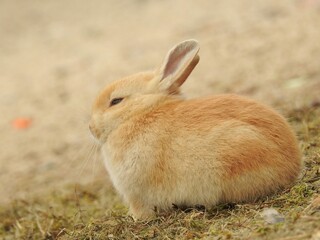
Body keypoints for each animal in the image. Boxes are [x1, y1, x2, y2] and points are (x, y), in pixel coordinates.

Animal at [89, 39, 302, 219]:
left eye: (116, 101)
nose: (91, 128)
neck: (141, 112)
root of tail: (292, 168)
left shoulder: (137, 195)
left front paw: (134, 219)